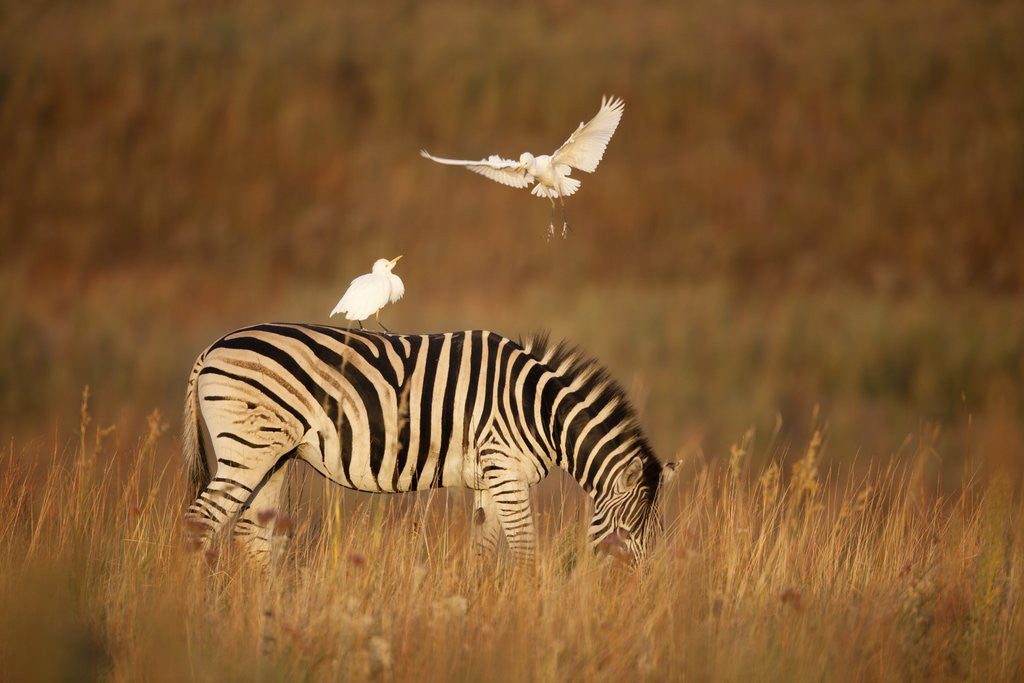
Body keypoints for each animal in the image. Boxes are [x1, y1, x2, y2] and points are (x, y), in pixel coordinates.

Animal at [183, 324, 677, 566]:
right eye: (626, 531)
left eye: (656, 534)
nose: (632, 590)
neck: (537, 409)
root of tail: (212, 347)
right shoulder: (506, 470)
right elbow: (524, 548)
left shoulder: (491, 477)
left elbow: (483, 549)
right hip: (246, 449)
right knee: (200, 522)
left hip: (275, 455)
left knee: (250, 534)